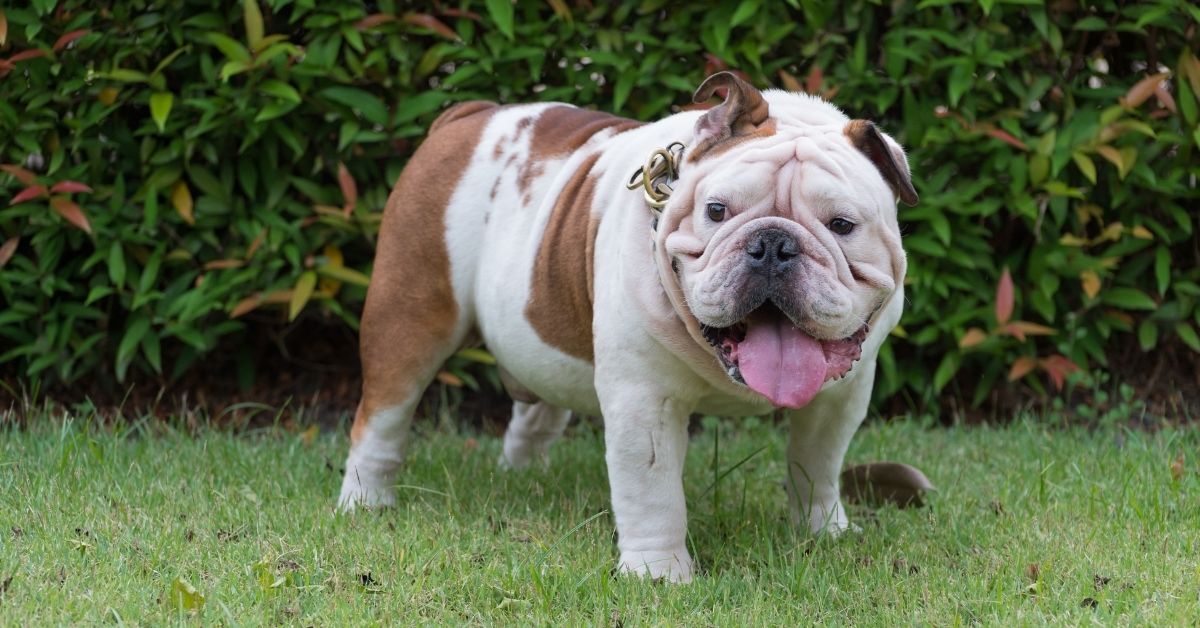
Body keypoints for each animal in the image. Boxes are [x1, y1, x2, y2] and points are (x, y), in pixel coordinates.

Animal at [343, 72, 921, 585]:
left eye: (842, 225)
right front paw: (658, 575)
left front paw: (823, 531)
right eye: (716, 210)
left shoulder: (841, 398)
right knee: (383, 417)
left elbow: (817, 465)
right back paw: (365, 501)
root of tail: (469, 115)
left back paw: (527, 476)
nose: (773, 245)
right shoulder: (645, 403)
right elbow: (652, 491)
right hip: (409, 316)